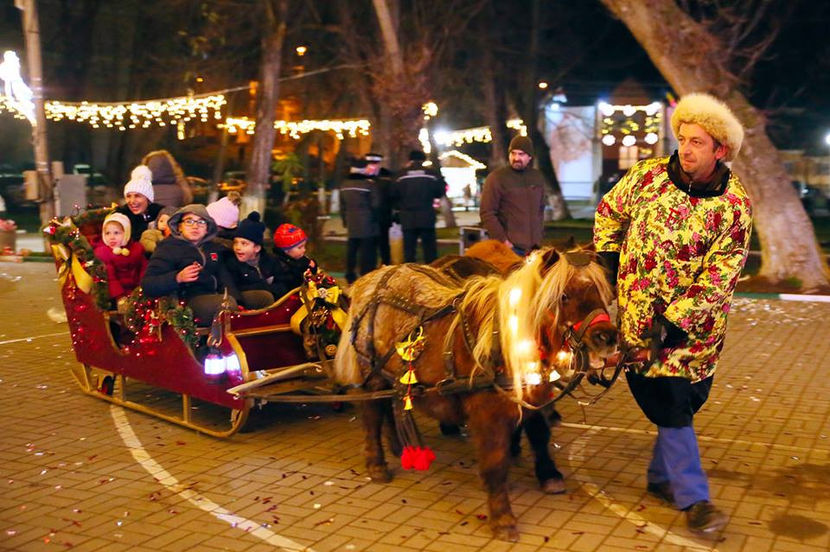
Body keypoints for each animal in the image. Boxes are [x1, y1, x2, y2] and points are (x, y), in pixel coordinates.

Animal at [334, 248, 616, 540]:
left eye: (602, 291)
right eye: (563, 295)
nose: (607, 337)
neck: (502, 341)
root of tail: (372, 278)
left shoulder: (534, 395)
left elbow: (539, 434)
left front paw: (549, 476)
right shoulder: (488, 414)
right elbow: (495, 461)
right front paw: (502, 519)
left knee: (387, 405)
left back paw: (398, 445)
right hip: (371, 372)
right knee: (371, 416)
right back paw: (377, 465)